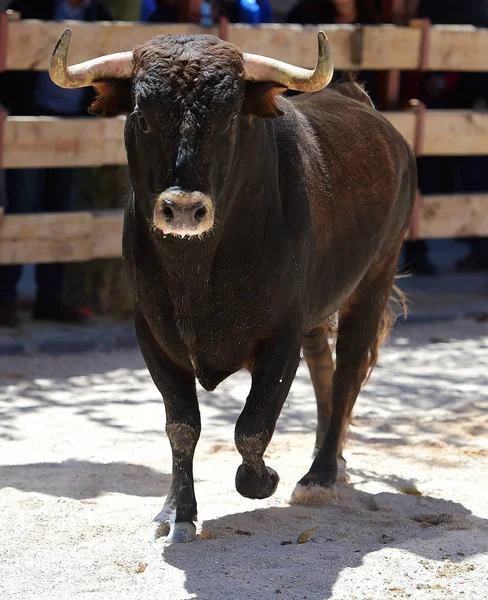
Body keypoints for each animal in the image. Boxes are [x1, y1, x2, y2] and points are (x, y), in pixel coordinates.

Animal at [51, 32, 416, 540]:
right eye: (142, 115)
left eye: (228, 119)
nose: (184, 208)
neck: (196, 270)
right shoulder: (152, 336)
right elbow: (182, 426)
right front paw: (176, 512)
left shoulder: (280, 337)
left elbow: (253, 425)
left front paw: (263, 480)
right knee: (324, 368)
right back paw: (329, 461)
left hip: (374, 278)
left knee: (346, 371)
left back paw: (321, 475)